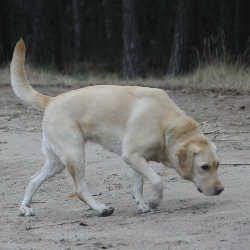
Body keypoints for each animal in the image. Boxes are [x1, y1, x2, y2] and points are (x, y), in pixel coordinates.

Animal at [10, 39, 225, 217]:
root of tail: (52, 100)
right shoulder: (132, 156)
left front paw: (142, 204)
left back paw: (25, 208)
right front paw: (153, 202)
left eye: (217, 165)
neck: (166, 124)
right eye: (204, 167)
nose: (220, 190)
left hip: (57, 163)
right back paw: (101, 208)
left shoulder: (136, 159)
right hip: (75, 154)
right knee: (79, 189)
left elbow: (138, 185)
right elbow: (157, 181)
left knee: (33, 180)